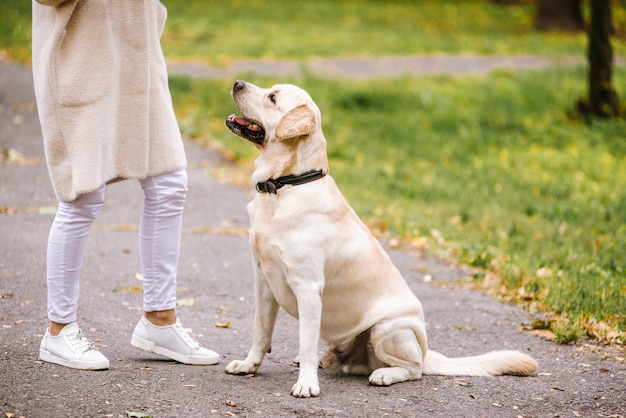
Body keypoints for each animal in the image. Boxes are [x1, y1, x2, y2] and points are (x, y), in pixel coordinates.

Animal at [222, 80, 532, 396]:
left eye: (272, 97)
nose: (237, 83)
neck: (284, 187)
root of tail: (425, 351)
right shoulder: (263, 280)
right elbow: (260, 332)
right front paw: (249, 365)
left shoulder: (308, 287)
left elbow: (305, 342)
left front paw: (307, 384)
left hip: (388, 329)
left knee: (413, 369)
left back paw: (385, 374)